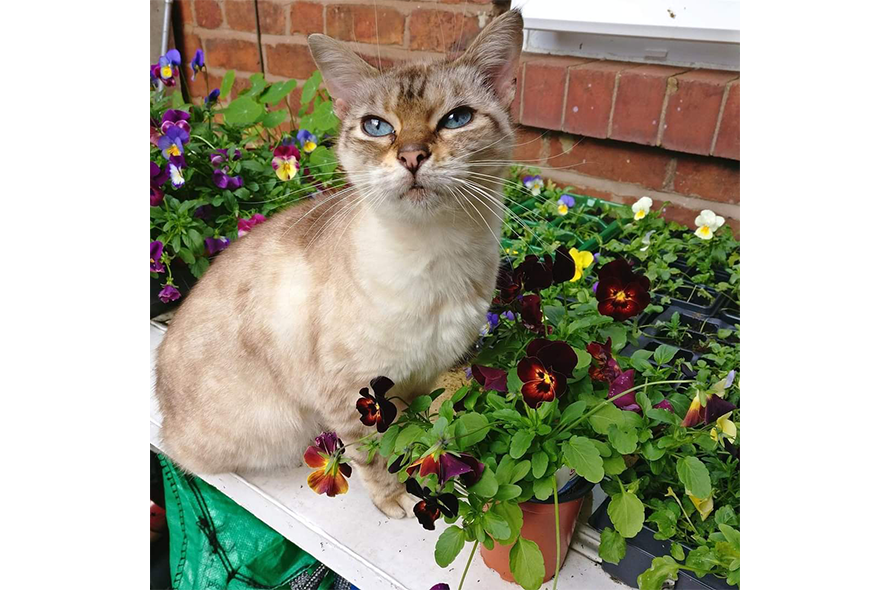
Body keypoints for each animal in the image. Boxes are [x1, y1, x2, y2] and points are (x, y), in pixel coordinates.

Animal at [156, 8, 524, 520]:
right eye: (377, 127)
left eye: (457, 119)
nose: (412, 156)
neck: (435, 255)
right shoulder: (353, 395)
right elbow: (376, 455)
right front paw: (397, 501)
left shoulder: (421, 379)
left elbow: (411, 437)